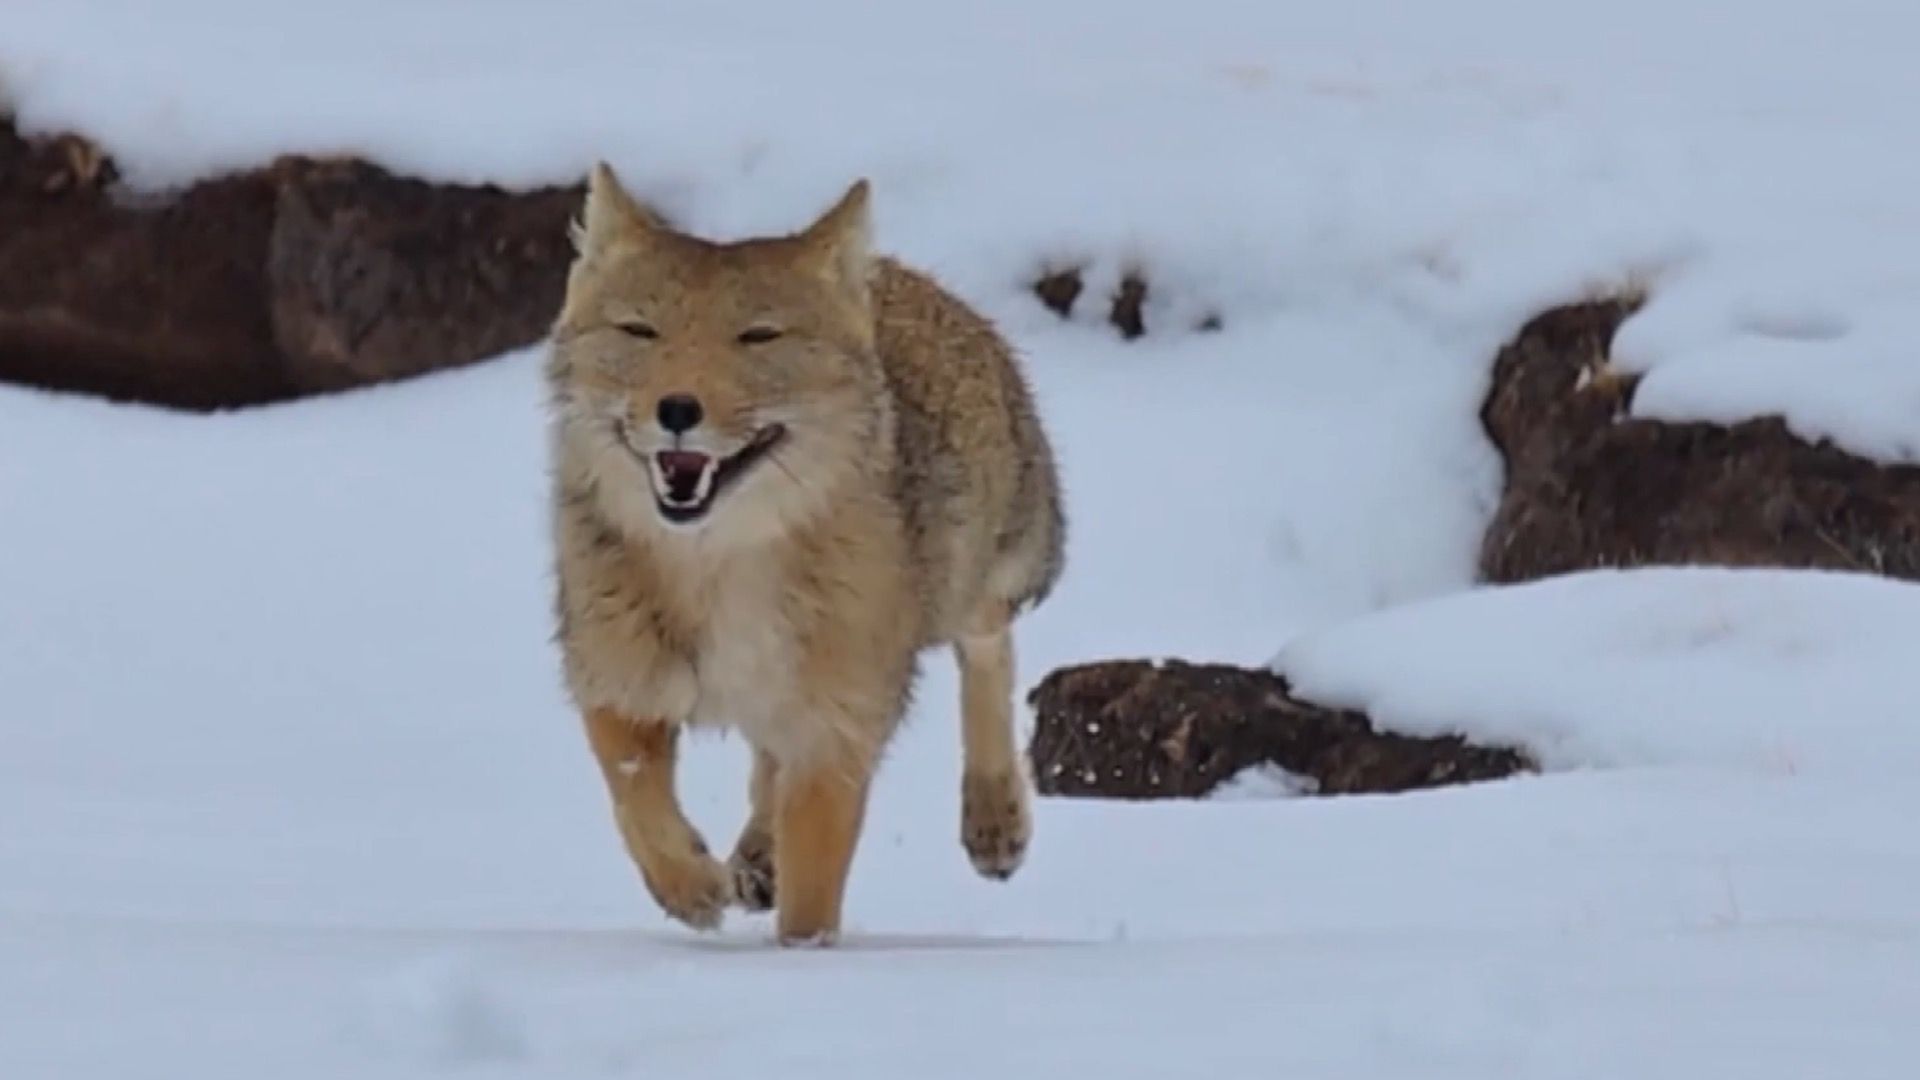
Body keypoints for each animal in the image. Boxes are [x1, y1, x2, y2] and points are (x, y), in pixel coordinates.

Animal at [543, 163, 1066, 946]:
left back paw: (994, 820)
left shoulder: (837, 726)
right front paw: (689, 887)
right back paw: (752, 860)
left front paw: (804, 958)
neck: (719, 569)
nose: (677, 409)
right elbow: (635, 794)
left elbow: (814, 882)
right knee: (765, 767)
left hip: (968, 591)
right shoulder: (617, 679)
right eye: (640, 330)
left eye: (758, 337)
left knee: (989, 649)